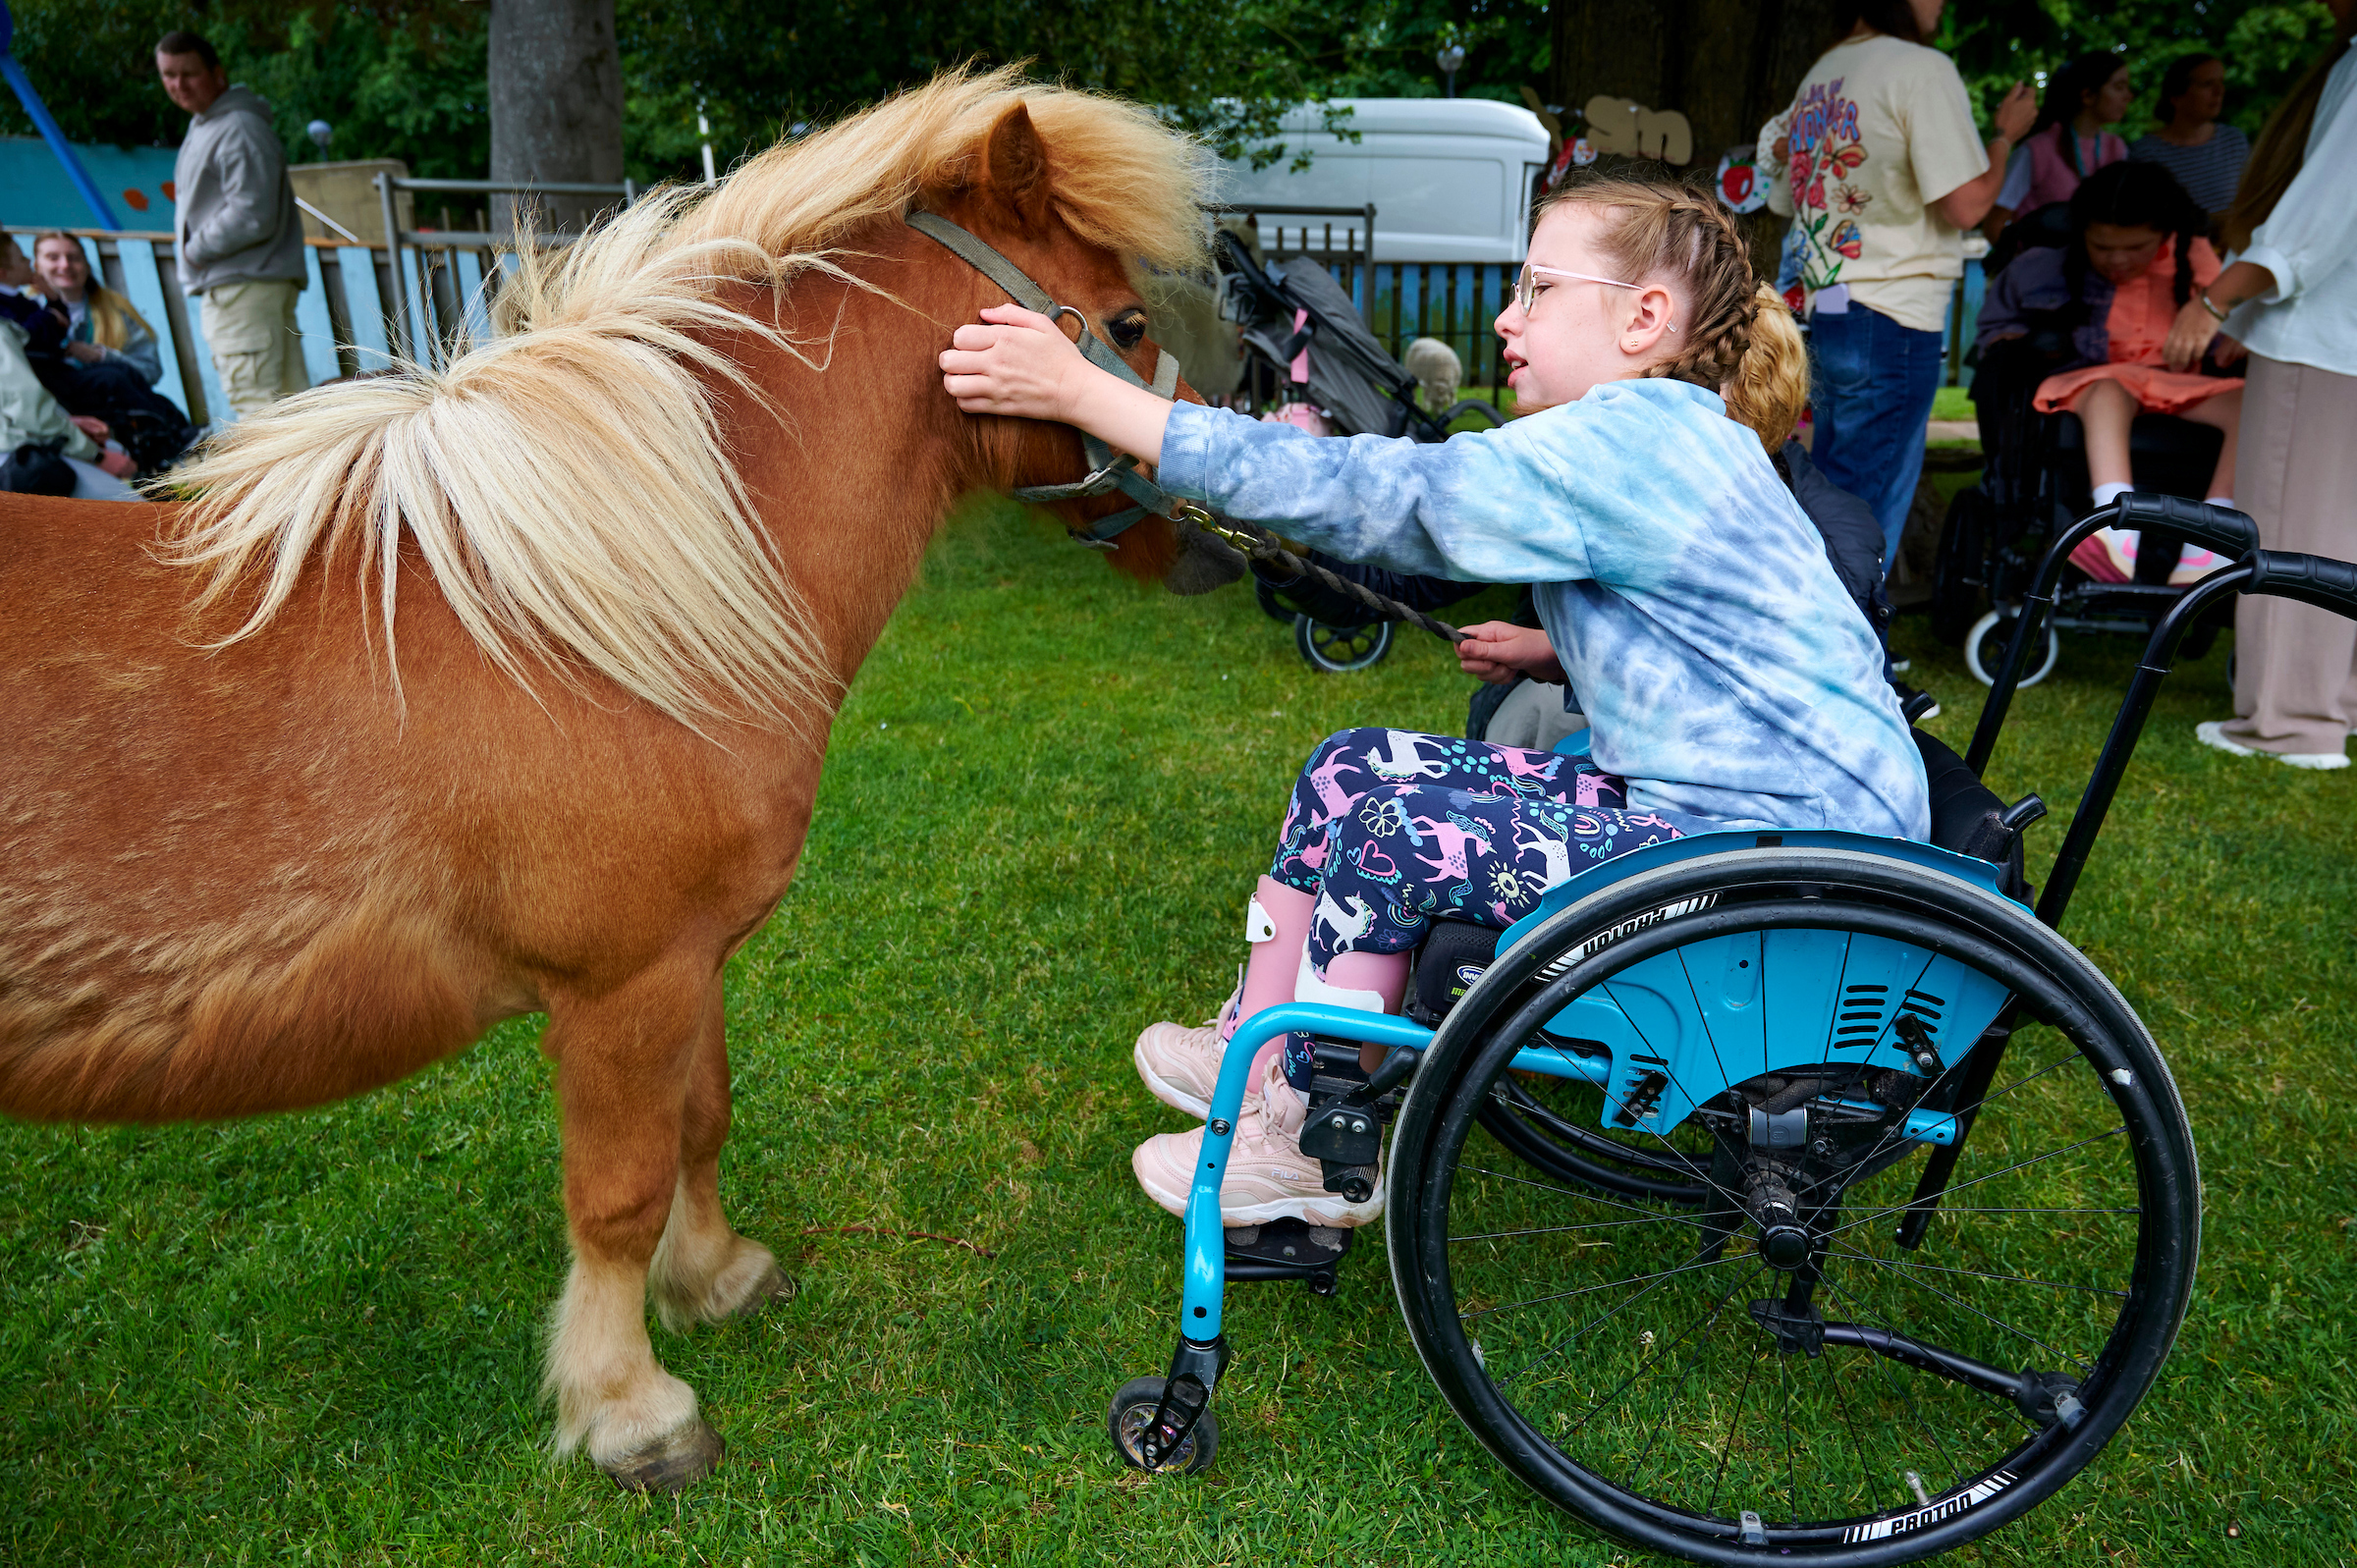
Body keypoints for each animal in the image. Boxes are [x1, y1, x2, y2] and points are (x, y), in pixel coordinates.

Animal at [0, 67, 1210, 1492]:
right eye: (1122, 323)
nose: (1211, 545)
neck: (576, 616)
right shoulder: (623, 988)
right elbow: (618, 1196)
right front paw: (632, 1407)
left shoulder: (689, 965)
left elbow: (702, 1122)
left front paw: (716, 1279)